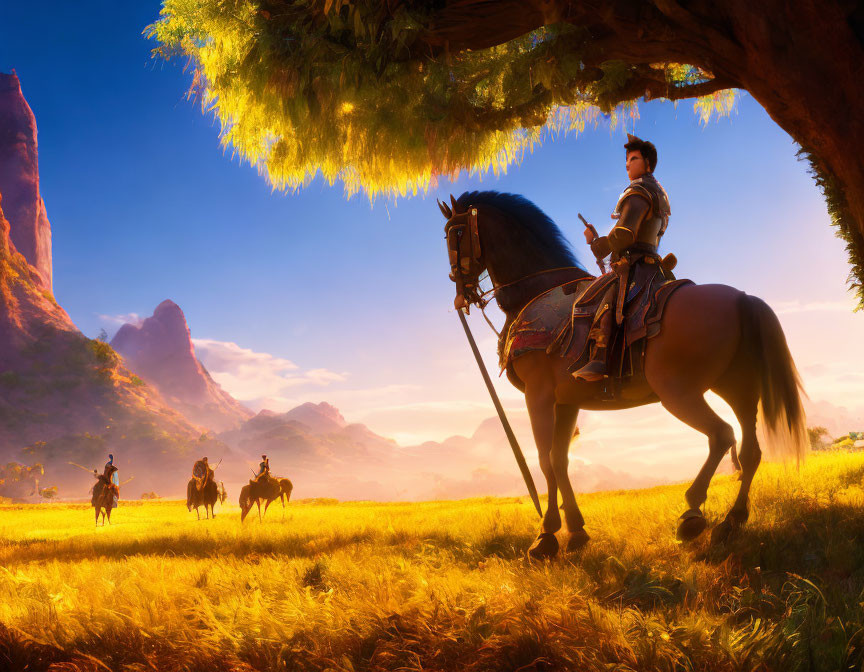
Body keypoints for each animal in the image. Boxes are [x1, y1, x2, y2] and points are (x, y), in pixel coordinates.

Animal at [438, 192, 808, 560]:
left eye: (453, 234)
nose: (460, 294)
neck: (537, 292)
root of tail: (742, 298)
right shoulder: (566, 401)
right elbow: (560, 459)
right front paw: (575, 531)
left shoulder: (538, 395)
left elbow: (545, 460)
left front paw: (546, 535)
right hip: (738, 388)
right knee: (750, 451)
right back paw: (731, 521)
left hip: (679, 392)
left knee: (721, 435)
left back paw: (691, 514)